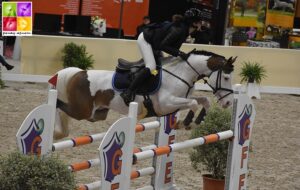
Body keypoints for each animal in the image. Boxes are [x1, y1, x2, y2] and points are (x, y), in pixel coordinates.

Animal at [49, 49, 237, 139]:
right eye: (226, 77)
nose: (228, 102)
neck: (181, 73)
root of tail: (78, 73)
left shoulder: (180, 99)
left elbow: (204, 100)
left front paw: (197, 121)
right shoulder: (166, 104)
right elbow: (193, 103)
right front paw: (186, 122)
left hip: (96, 114)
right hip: (82, 111)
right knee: (58, 105)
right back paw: (57, 131)